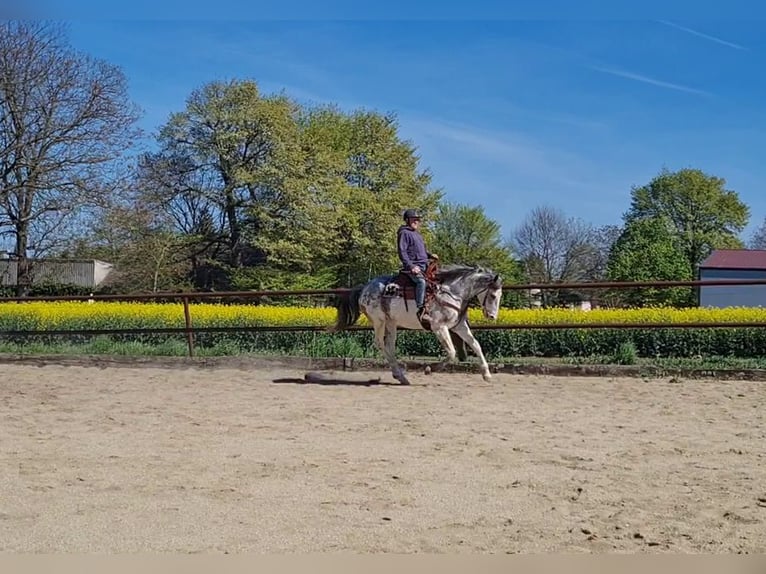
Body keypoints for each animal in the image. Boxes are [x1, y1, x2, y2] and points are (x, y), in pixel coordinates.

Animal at [329, 261, 503, 385]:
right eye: (493, 295)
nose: (492, 316)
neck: (452, 293)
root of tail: (364, 288)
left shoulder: (458, 326)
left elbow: (476, 345)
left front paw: (487, 374)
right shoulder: (439, 327)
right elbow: (452, 352)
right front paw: (429, 369)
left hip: (391, 322)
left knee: (389, 345)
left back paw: (400, 376)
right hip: (379, 321)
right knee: (380, 344)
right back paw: (400, 375)